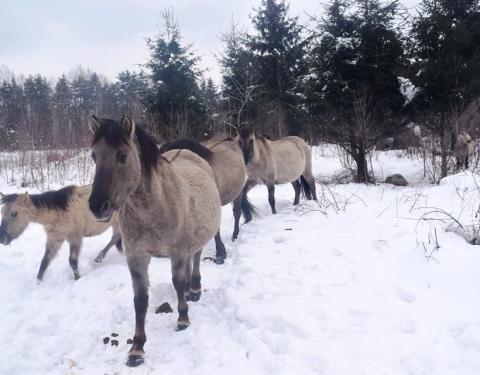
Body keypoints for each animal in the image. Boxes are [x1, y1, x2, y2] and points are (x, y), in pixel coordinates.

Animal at [87, 114, 220, 368]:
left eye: (123, 156)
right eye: (94, 155)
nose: (98, 206)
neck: (155, 206)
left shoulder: (177, 252)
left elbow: (177, 282)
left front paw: (183, 318)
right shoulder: (136, 257)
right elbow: (140, 300)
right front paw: (137, 348)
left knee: (196, 257)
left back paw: (194, 288)